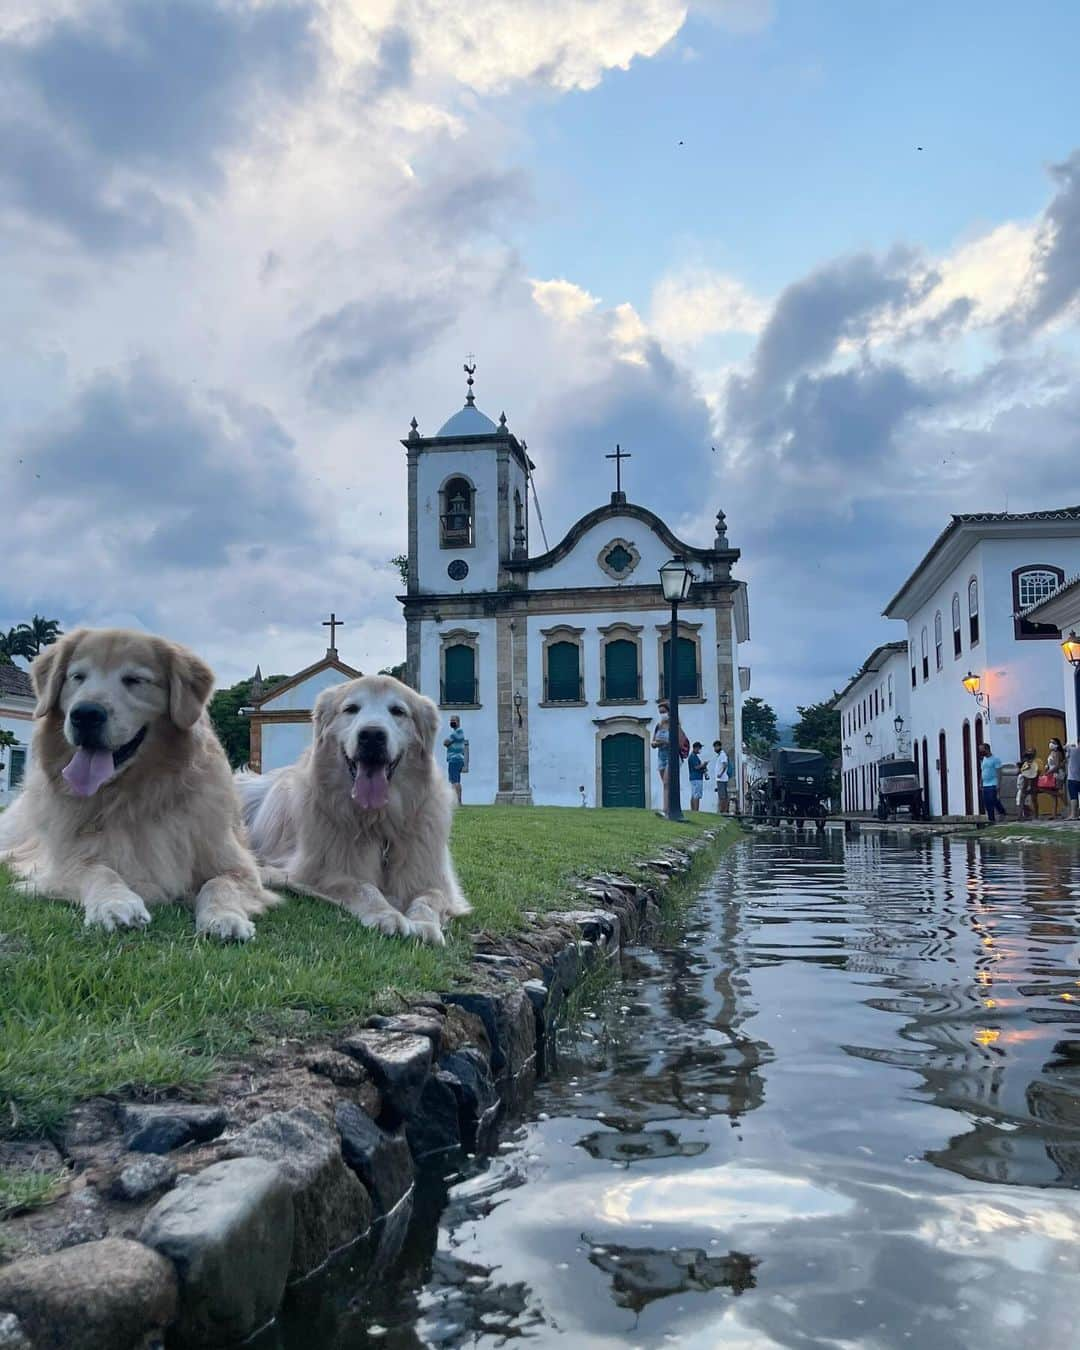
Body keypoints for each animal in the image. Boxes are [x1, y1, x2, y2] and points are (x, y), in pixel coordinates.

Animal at [1, 629, 278, 939]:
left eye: (134, 680)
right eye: (77, 677)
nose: (85, 714)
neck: (137, 796)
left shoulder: (237, 865)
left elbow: (219, 883)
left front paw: (225, 916)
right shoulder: (62, 863)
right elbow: (98, 869)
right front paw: (116, 903)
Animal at [238, 675, 467, 950]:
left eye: (398, 711)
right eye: (351, 709)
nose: (372, 736)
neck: (378, 820)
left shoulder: (434, 876)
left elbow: (430, 897)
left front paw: (424, 924)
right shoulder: (321, 872)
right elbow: (362, 887)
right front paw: (386, 914)